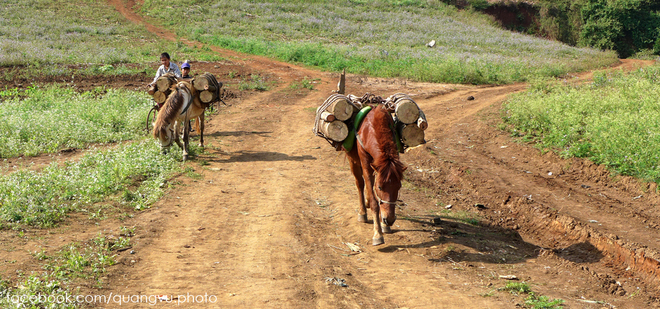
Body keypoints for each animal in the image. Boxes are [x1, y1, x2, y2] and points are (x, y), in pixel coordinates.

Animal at [348, 103, 404, 245]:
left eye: (399, 187)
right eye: (380, 187)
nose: (389, 220)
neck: (372, 129)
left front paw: (384, 226)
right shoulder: (366, 164)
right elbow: (375, 201)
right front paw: (378, 234)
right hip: (352, 160)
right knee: (359, 183)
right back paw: (362, 212)